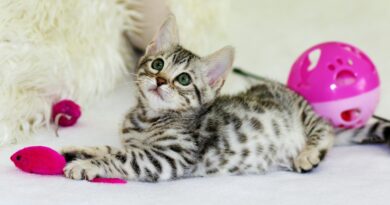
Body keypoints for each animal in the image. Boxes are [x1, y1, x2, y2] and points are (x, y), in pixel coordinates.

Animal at [61, 14, 390, 181]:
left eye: (184, 79)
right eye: (157, 64)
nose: (160, 80)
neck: (147, 118)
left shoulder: (168, 157)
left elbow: (123, 157)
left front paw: (87, 165)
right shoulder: (138, 143)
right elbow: (112, 147)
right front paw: (80, 150)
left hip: (305, 114)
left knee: (324, 130)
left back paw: (308, 154)